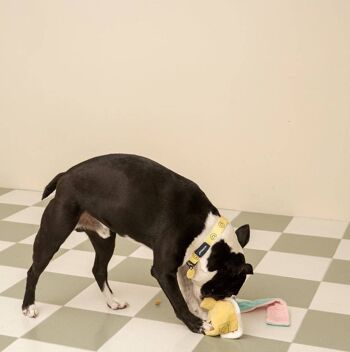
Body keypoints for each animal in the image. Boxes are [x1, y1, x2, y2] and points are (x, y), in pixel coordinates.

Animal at [22, 154, 252, 332]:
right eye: (220, 291)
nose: (226, 301)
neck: (207, 234)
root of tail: (65, 176)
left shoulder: (184, 264)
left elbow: (188, 293)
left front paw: (199, 312)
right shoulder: (163, 271)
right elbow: (179, 301)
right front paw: (195, 325)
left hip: (105, 239)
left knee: (99, 270)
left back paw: (112, 302)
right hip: (53, 234)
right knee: (34, 271)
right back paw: (28, 307)